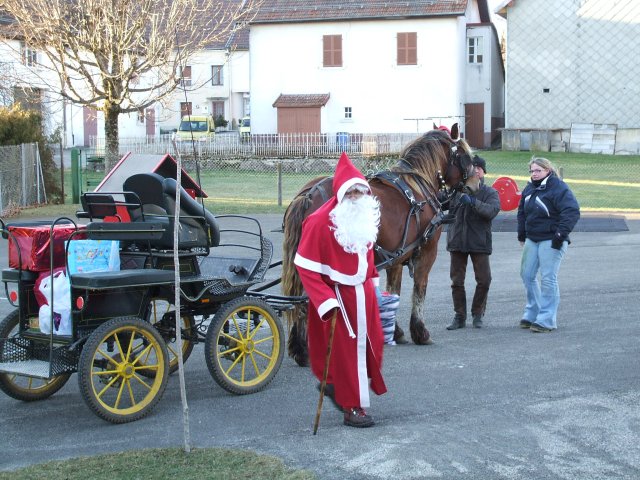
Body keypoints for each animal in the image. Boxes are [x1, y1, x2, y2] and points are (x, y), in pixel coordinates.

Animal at [282, 125, 478, 366]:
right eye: (465, 155)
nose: (476, 184)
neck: (418, 186)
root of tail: (309, 194)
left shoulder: (396, 255)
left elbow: (393, 291)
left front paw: (396, 331)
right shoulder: (426, 252)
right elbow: (419, 289)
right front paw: (420, 332)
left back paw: (300, 348)